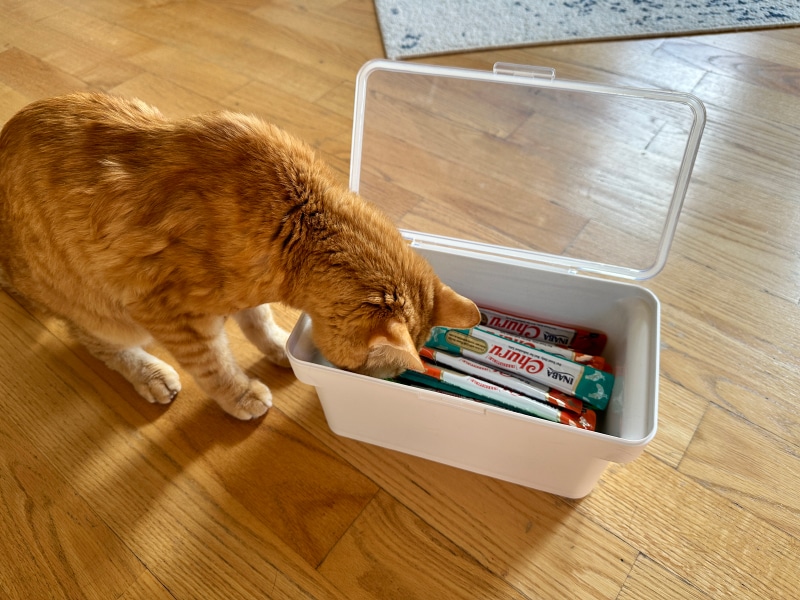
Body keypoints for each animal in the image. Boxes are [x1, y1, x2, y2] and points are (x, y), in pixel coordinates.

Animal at [0, 95, 476, 422]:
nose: (385, 385)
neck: (297, 216)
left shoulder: (246, 286)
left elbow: (258, 319)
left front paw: (279, 345)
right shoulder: (168, 312)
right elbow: (213, 365)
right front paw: (240, 394)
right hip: (104, 313)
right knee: (93, 340)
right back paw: (151, 374)